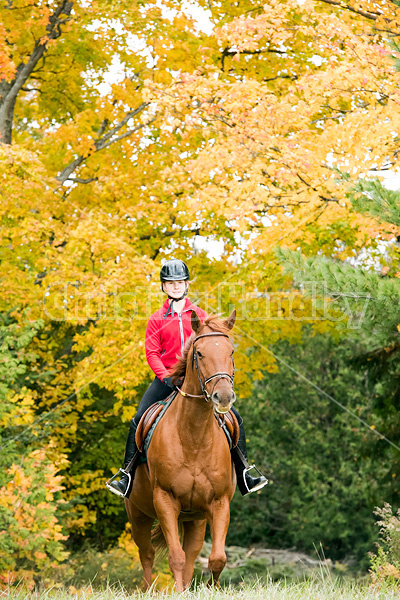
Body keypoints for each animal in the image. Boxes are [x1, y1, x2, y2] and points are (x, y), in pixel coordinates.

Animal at [125, 312, 236, 592]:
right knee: (147, 554)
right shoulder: (165, 500)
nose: (223, 397)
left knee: (192, 553)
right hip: (139, 516)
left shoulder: (219, 503)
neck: (194, 438)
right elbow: (175, 556)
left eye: (231, 351)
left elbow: (217, 558)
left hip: (194, 518)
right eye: (199, 353)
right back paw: (148, 590)